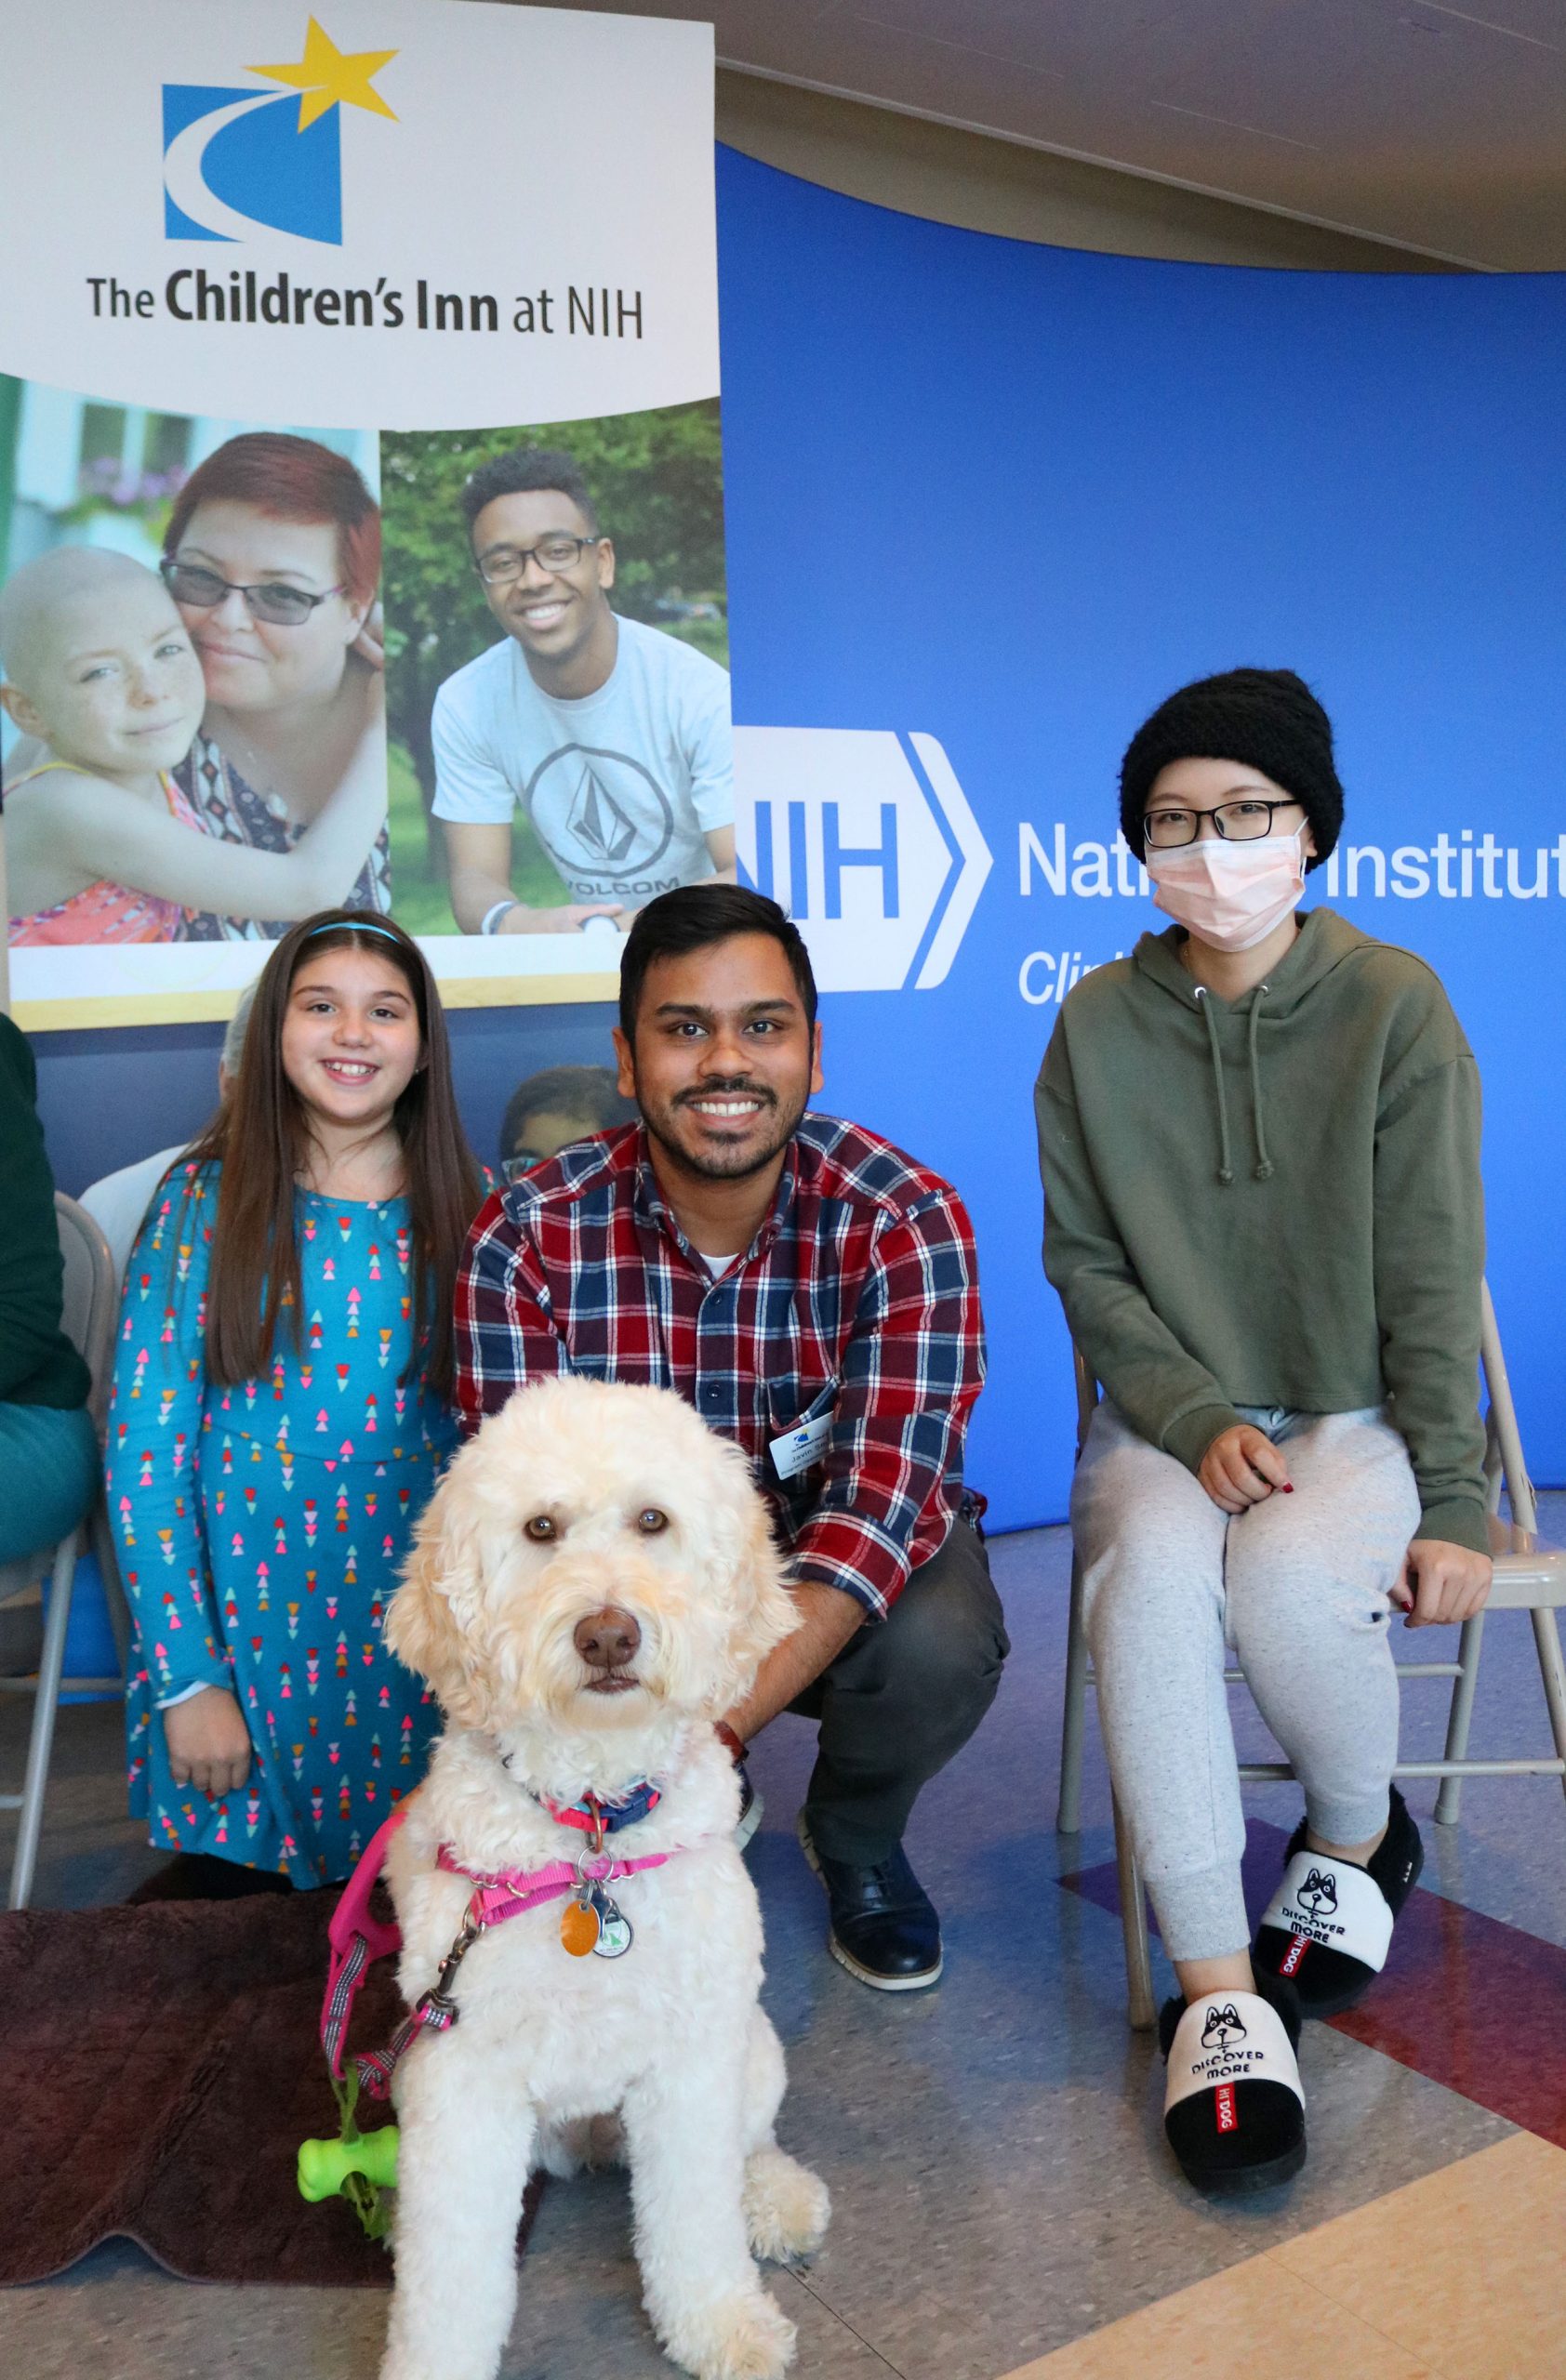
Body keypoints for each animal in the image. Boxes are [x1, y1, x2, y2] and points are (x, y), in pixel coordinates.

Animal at [376, 1380, 828, 2380]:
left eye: (652, 1519)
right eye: (540, 1527)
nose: (608, 1633)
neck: (589, 1832)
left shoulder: (691, 2058)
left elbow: (694, 2214)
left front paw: (721, 2321)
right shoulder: (459, 2073)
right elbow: (448, 2266)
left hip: (751, 2045)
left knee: (750, 2141)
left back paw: (776, 2198)